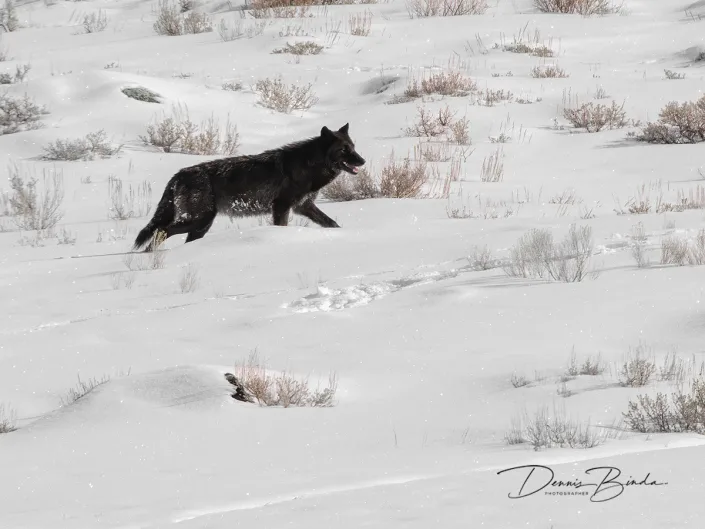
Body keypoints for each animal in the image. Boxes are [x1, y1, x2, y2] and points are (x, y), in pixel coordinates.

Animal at [132, 123, 366, 252]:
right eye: (344, 150)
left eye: (353, 147)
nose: (362, 161)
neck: (309, 165)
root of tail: (178, 175)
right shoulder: (281, 207)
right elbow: (282, 228)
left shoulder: (304, 206)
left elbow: (332, 224)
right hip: (199, 221)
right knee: (162, 230)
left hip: (201, 226)